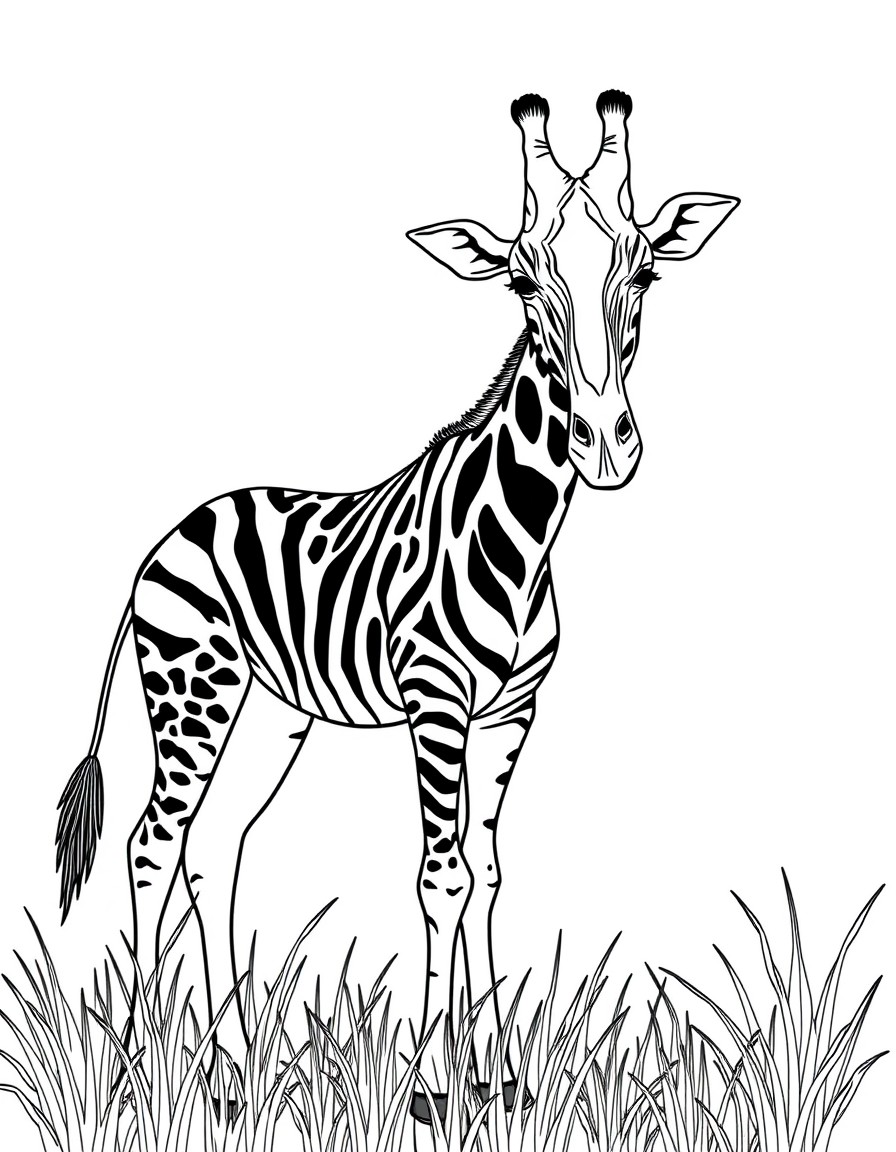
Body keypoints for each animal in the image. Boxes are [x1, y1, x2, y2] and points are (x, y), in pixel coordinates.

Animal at [55, 91, 738, 1122]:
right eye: (522, 284)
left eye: (647, 272)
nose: (607, 445)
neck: (526, 537)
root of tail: (167, 535)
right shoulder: (436, 705)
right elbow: (440, 878)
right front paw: (428, 1085)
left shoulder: (510, 713)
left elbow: (487, 874)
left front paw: (500, 1079)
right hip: (189, 692)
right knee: (152, 842)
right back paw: (137, 1070)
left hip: (271, 713)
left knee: (213, 849)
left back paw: (233, 1073)